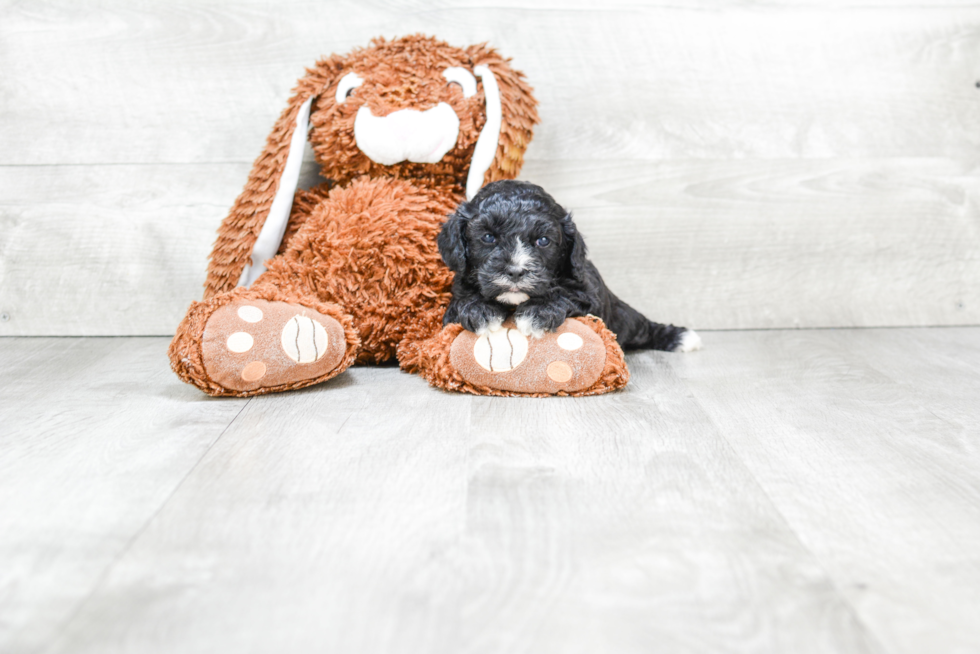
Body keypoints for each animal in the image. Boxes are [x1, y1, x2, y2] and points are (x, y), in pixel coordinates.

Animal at [440, 179, 700, 354]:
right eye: (487, 237)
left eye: (543, 241)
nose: (515, 271)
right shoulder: (454, 300)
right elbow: (461, 301)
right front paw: (480, 310)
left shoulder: (589, 295)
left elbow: (566, 294)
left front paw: (537, 313)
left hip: (624, 317)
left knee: (644, 327)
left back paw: (680, 337)